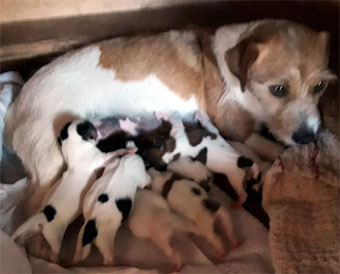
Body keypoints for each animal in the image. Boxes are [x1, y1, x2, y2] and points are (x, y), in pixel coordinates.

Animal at [4, 19, 334, 216]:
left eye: (320, 85)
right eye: (278, 89)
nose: (308, 136)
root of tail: (16, 107)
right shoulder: (235, 127)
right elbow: (266, 144)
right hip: (52, 165)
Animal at [10, 119, 130, 262]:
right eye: (90, 126)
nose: (95, 124)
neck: (73, 146)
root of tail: (43, 217)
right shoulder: (99, 159)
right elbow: (112, 154)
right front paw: (127, 150)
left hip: (30, 228)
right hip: (55, 237)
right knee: (54, 253)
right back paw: (58, 261)